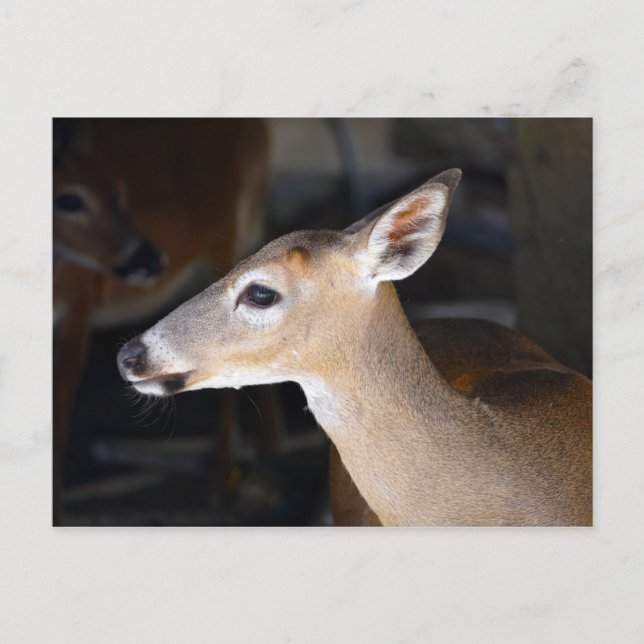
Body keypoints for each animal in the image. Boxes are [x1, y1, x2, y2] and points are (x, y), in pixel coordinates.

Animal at [53, 118, 274, 524]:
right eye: (69, 200)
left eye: (119, 192)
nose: (152, 260)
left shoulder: (78, 305)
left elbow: (59, 422)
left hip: (229, 234)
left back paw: (222, 487)